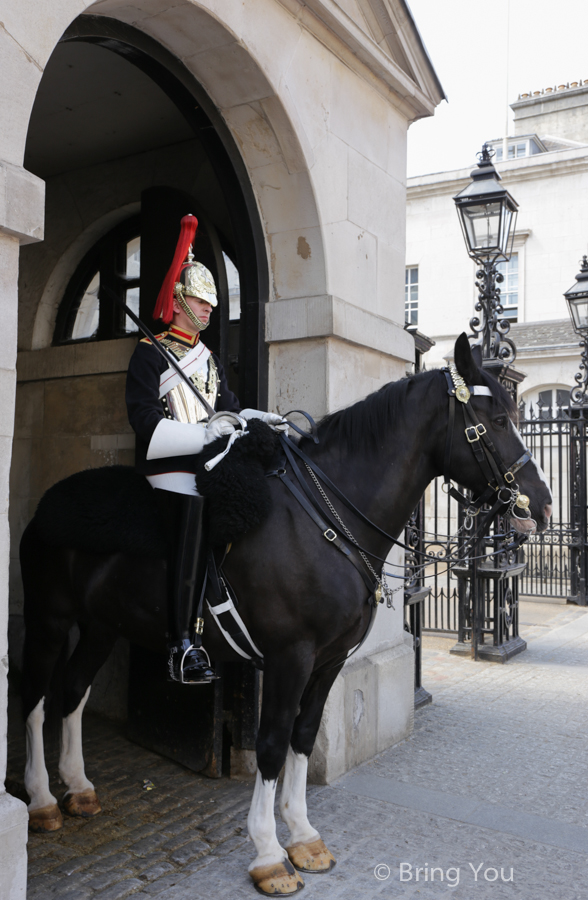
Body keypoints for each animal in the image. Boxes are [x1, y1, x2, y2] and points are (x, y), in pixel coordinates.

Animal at [18, 336, 552, 892]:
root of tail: (48, 501)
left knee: (73, 689)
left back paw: (79, 786)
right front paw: (269, 852)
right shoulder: (287, 657)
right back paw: (41, 799)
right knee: (34, 694)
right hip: (49, 618)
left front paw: (303, 835)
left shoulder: (329, 660)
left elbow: (303, 735)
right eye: (497, 419)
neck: (323, 518)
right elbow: (272, 744)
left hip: (102, 625)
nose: (540, 505)